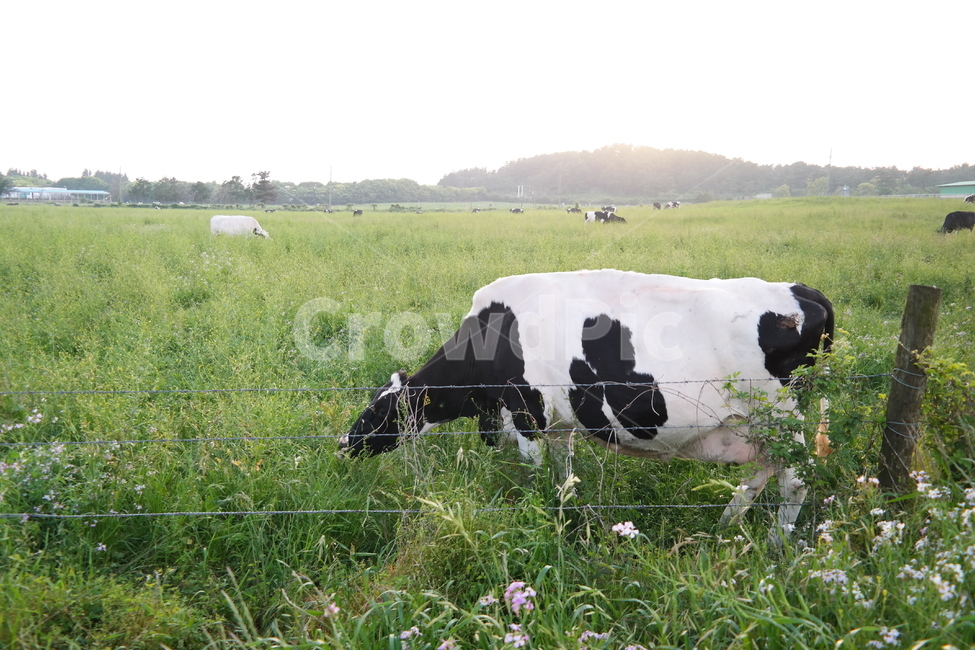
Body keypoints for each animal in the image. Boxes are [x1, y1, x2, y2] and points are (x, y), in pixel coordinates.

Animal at [340, 270, 834, 537]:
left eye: (378, 411)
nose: (344, 445)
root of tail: (804, 291)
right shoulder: (559, 422)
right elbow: (563, 474)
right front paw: (565, 514)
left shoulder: (528, 412)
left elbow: (536, 472)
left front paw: (539, 515)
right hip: (759, 425)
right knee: (765, 470)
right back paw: (727, 524)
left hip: (780, 413)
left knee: (795, 480)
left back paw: (776, 544)